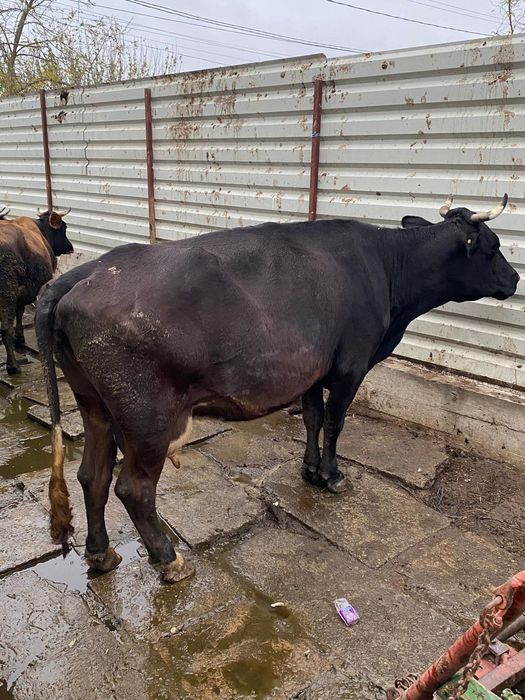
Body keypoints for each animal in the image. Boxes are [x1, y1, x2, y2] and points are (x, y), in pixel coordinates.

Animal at [0, 208, 73, 374]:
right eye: (64, 228)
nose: (70, 247)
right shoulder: (28, 288)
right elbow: (19, 310)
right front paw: (19, 336)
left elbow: (19, 311)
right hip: (7, 290)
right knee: (5, 329)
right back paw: (13, 365)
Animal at [35, 195, 518, 584]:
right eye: (492, 246)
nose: (514, 280)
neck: (385, 267)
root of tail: (82, 274)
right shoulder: (351, 365)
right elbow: (335, 422)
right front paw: (332, 475)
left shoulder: (312, 370)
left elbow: (312, 418)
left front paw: (309, 471)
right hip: (146, 418)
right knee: (132, 488)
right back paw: (170, 561)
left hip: (95, 405)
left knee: (91, 475)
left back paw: (101, 555)